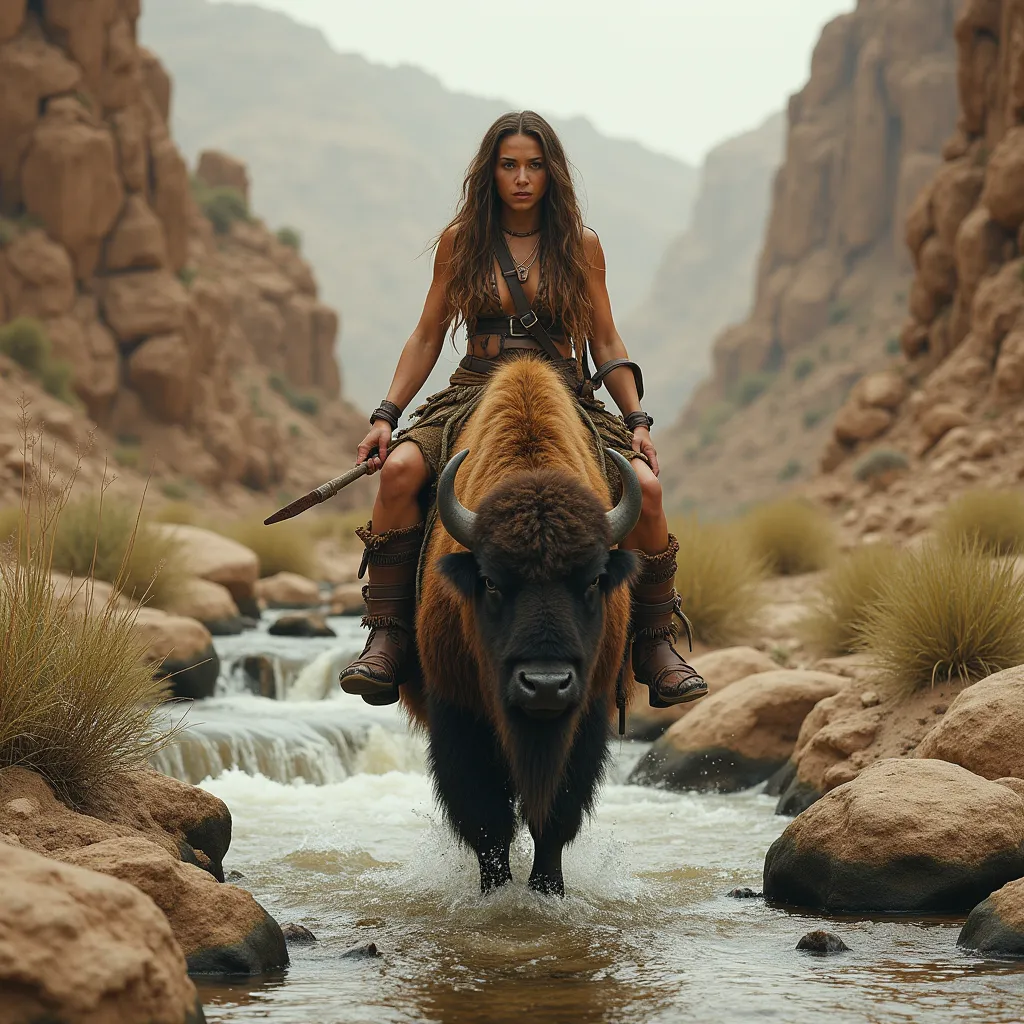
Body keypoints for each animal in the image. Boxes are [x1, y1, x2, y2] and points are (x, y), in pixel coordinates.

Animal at [399, 358, 638, 897]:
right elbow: (486, 822)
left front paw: (548, 891)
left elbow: (555, 818)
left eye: (594, 580)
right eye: (490, 581)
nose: (545, 685)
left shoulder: (586, 716)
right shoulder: (459, 714)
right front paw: (496, 894)